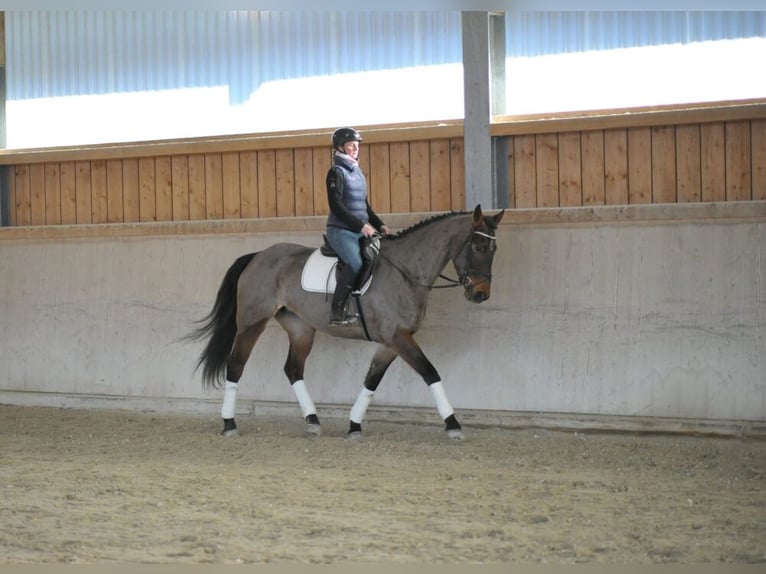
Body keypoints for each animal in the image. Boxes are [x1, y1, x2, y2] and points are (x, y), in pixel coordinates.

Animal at [189, 206, 508, 440]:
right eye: (479, 245)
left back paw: (313, 421)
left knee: (293, 369)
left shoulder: (392, 341)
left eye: (493, 250)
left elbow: (371, 380)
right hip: (252, 323)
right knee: (236, 366)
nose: (481, 294)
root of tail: (258, 256)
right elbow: (430, 372)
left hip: (300, 328)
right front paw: (453, 424)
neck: (405, 271)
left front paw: (354, 425)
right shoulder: (399, 337)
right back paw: (229, 424)